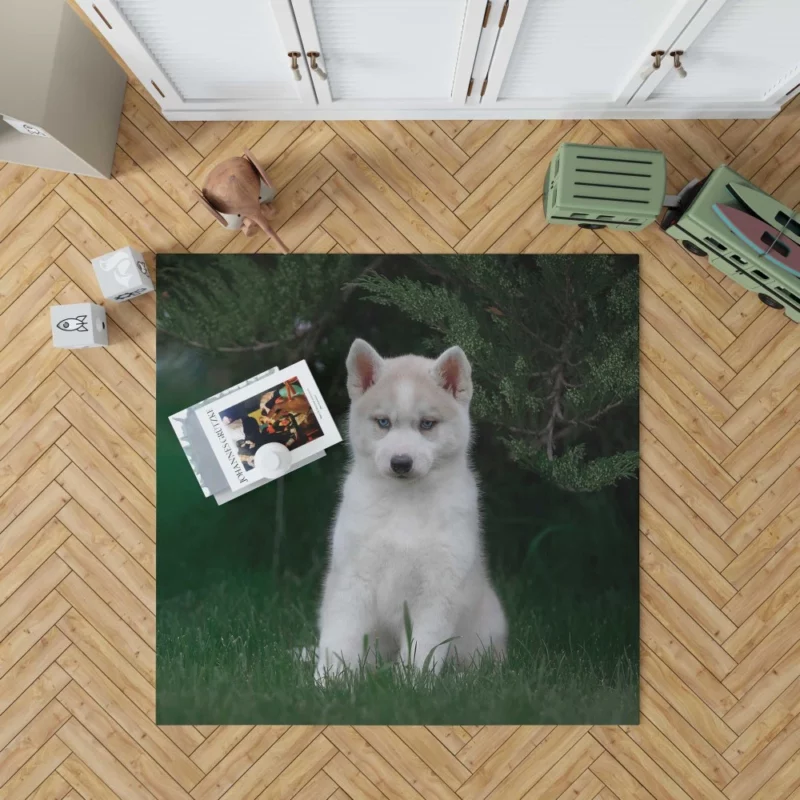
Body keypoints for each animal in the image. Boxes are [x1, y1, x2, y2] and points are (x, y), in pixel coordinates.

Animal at [314, 340, 506, 680]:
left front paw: (413, 684)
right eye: (384, 422)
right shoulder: (353, 578)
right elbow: (340, 637)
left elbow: (423, 649)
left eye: (427, 424)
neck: (405, 503)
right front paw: (328, 681)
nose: (401, 462)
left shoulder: (438, 589)